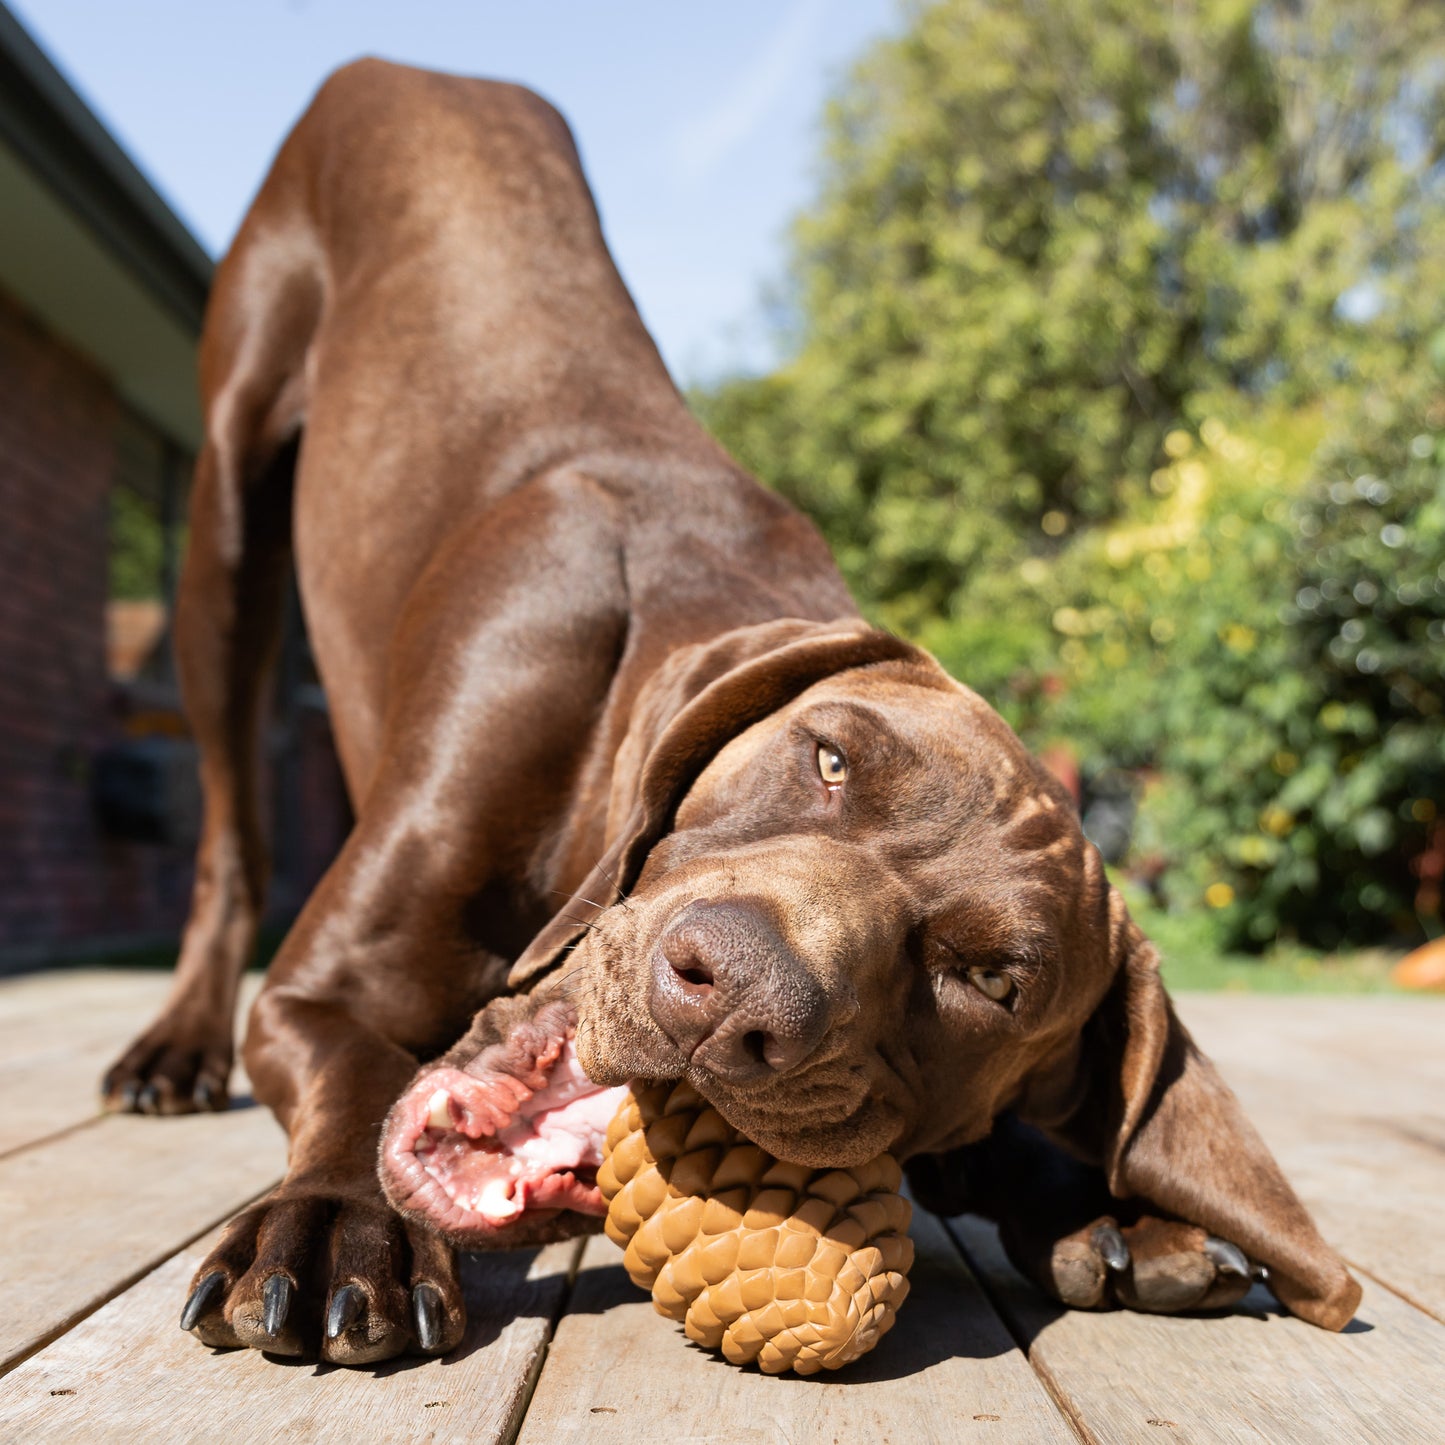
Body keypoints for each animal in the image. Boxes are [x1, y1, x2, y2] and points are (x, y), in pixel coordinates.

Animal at [106, 59, 1358, 1364]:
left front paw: (1113, 1209)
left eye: (991, 981)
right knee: (229, 824)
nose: (731, 992)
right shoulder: (322, 988)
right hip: (229, 508)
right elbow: (354, 1075)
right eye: (827, 760)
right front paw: (340, 1219)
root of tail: (417, 71)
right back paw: (176, 1044)